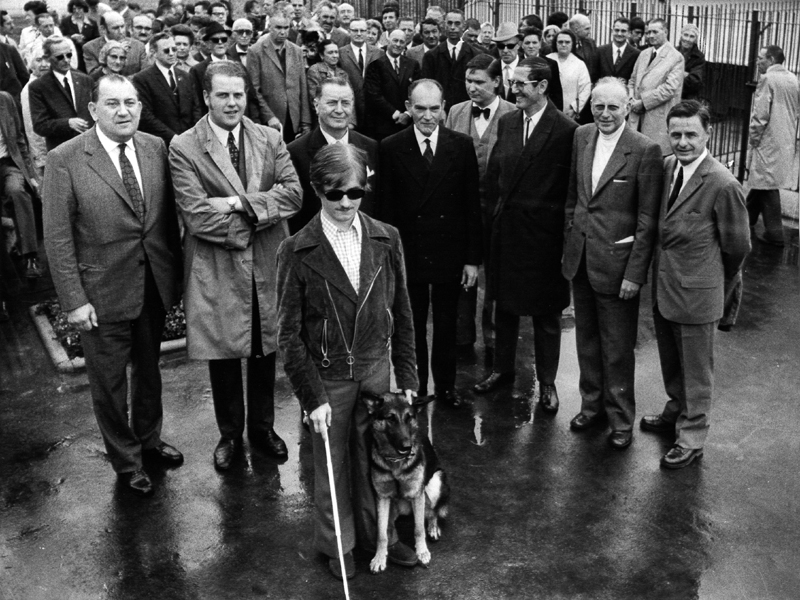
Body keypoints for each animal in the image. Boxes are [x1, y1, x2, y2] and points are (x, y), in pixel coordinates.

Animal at [362, 390, 450, 572]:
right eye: (390, 418)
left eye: (410, 418)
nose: (407, 447)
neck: (395, 461)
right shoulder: (382, 497)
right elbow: (381, 533)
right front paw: (379, 557)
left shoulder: (417, 494)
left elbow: (418, 528)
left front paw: (422, 552)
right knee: (391, 523)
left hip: (435, 482)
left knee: (432, 511)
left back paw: (433, 527)